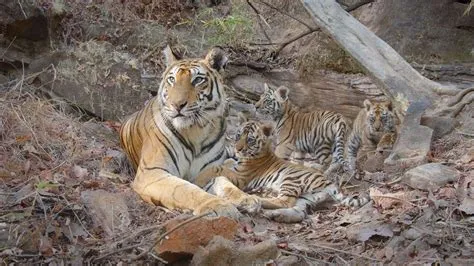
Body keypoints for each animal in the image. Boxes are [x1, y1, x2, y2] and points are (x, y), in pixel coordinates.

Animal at [120, 46, 258, 218]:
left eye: (198, 80)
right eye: (172, 79)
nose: (177, 105)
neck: (195, 131)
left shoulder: (206, 171)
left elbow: (223, 182)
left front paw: (246, 199)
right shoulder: (152, 173)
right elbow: (185, 190)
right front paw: (219, 205)